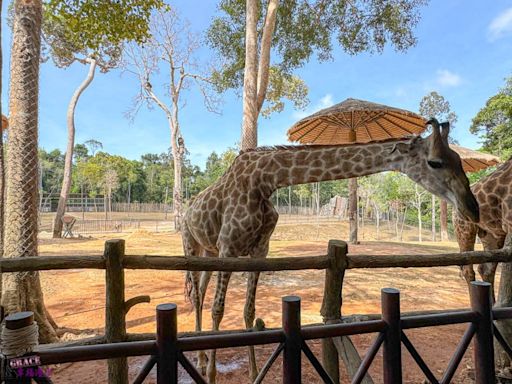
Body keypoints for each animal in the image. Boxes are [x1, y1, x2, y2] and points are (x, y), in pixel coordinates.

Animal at [184, 118, 480, 382]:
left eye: (459, 159)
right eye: (435, 162)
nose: (472, 208)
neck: (265, 181)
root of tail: (188, 208)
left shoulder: (259, 250)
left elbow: (248, 310)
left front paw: (255, 373)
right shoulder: (228, 246)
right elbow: (218, 309)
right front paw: (211, 376)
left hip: (210, 252)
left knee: (201, 290)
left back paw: (201, 358)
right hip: (193, 245)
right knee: (198, 296)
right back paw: (200, 363)